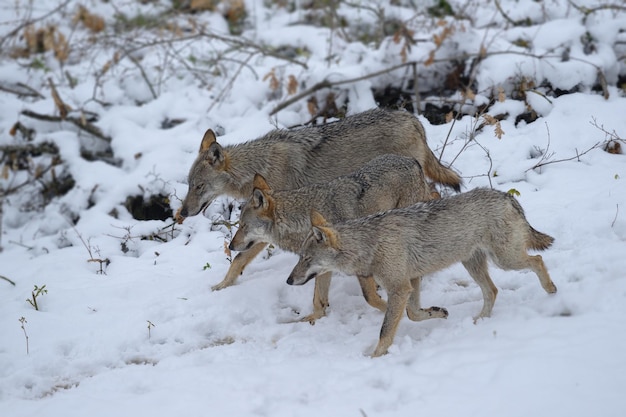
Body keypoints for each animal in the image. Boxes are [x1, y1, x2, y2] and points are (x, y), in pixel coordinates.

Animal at [227, 155, 442, 322]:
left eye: (243, 225)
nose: (231, 245)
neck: (303, 220)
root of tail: (412, 160)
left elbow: (370, 298)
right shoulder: (321, 264)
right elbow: (318, 299)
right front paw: (314, 318)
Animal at [286, 188, 552, 354]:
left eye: (306, 258)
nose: (288, 280)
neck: (370, 245)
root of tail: (506, 196)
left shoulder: (400, 288)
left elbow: (385, 330)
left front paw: (375, 357)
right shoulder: (411, 282)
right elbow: (413, 314)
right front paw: (438, 312)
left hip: (506, 260)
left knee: (537, 260)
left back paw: (551, 292)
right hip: (474, 264)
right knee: (493, 290)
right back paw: (480, 321)